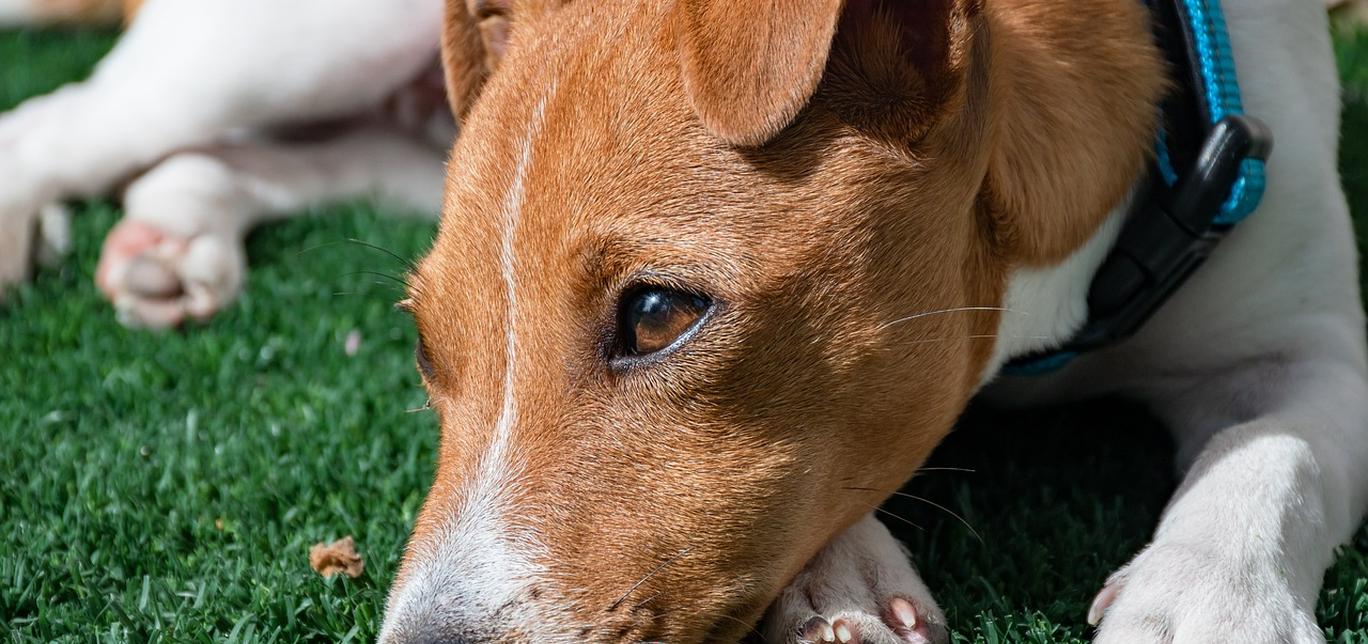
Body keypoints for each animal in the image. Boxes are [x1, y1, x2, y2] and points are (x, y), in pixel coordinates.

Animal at [0, 1, 1362, 644]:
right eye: (428, 350)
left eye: (657, 316)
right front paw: (842, 573)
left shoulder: (1310, 341)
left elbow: (1269, 455)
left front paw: (1208, 601)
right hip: (296, 39)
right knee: (79, 117)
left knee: (267, 155)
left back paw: (177, 233)